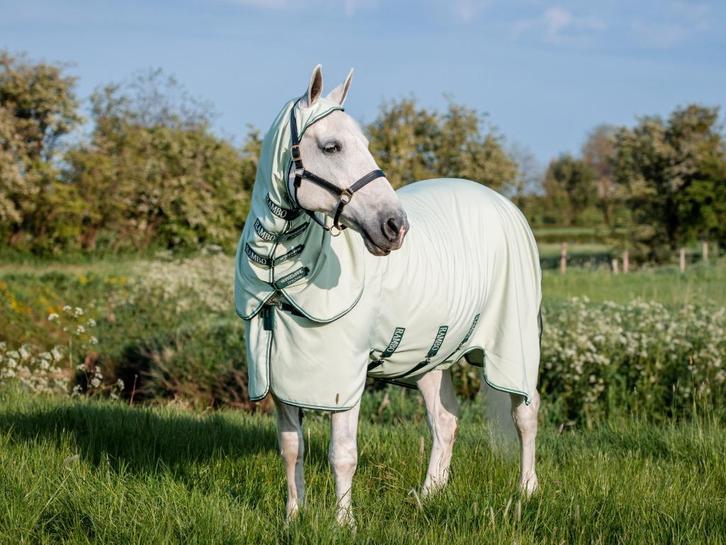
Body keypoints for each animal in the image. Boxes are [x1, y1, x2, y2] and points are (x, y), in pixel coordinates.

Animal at [234, 65, 542, 526]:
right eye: (332, 146)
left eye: (365, 144)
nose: (395, 226)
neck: (280, 273)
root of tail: (505, 205)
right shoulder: (279, 374)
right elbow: (291, 449)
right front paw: (292, 517)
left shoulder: (345, 378)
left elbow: (342, 454)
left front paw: (343, 523)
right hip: (432, 355)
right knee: (444, 421)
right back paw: (429, 495)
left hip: (516, 342)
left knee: (525, 412)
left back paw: (526, 491)